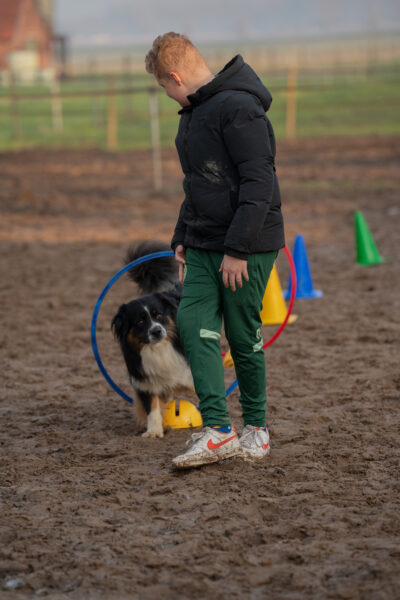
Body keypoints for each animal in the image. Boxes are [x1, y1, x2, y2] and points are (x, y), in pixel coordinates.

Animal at [111, 241, 194, 438]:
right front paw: (154, 431)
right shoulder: (146, 381)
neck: (159, 349)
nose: (156, 331)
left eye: (159, 315)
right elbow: (153, 408)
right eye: (140, 321)